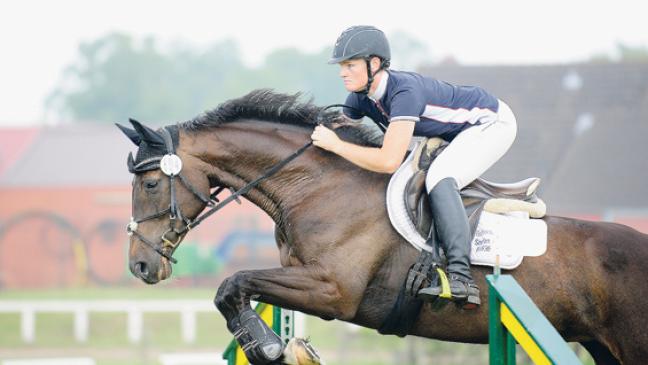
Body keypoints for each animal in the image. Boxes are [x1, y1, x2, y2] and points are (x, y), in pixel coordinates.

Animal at [119, 89, 648, 364]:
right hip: (602, 347)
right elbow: (238, 289)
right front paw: (278, 345)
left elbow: (233, 282)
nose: (140, 266)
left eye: (150, 182)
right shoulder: (303, 279)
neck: (316, 186)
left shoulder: (332, 289)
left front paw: (267, 345)